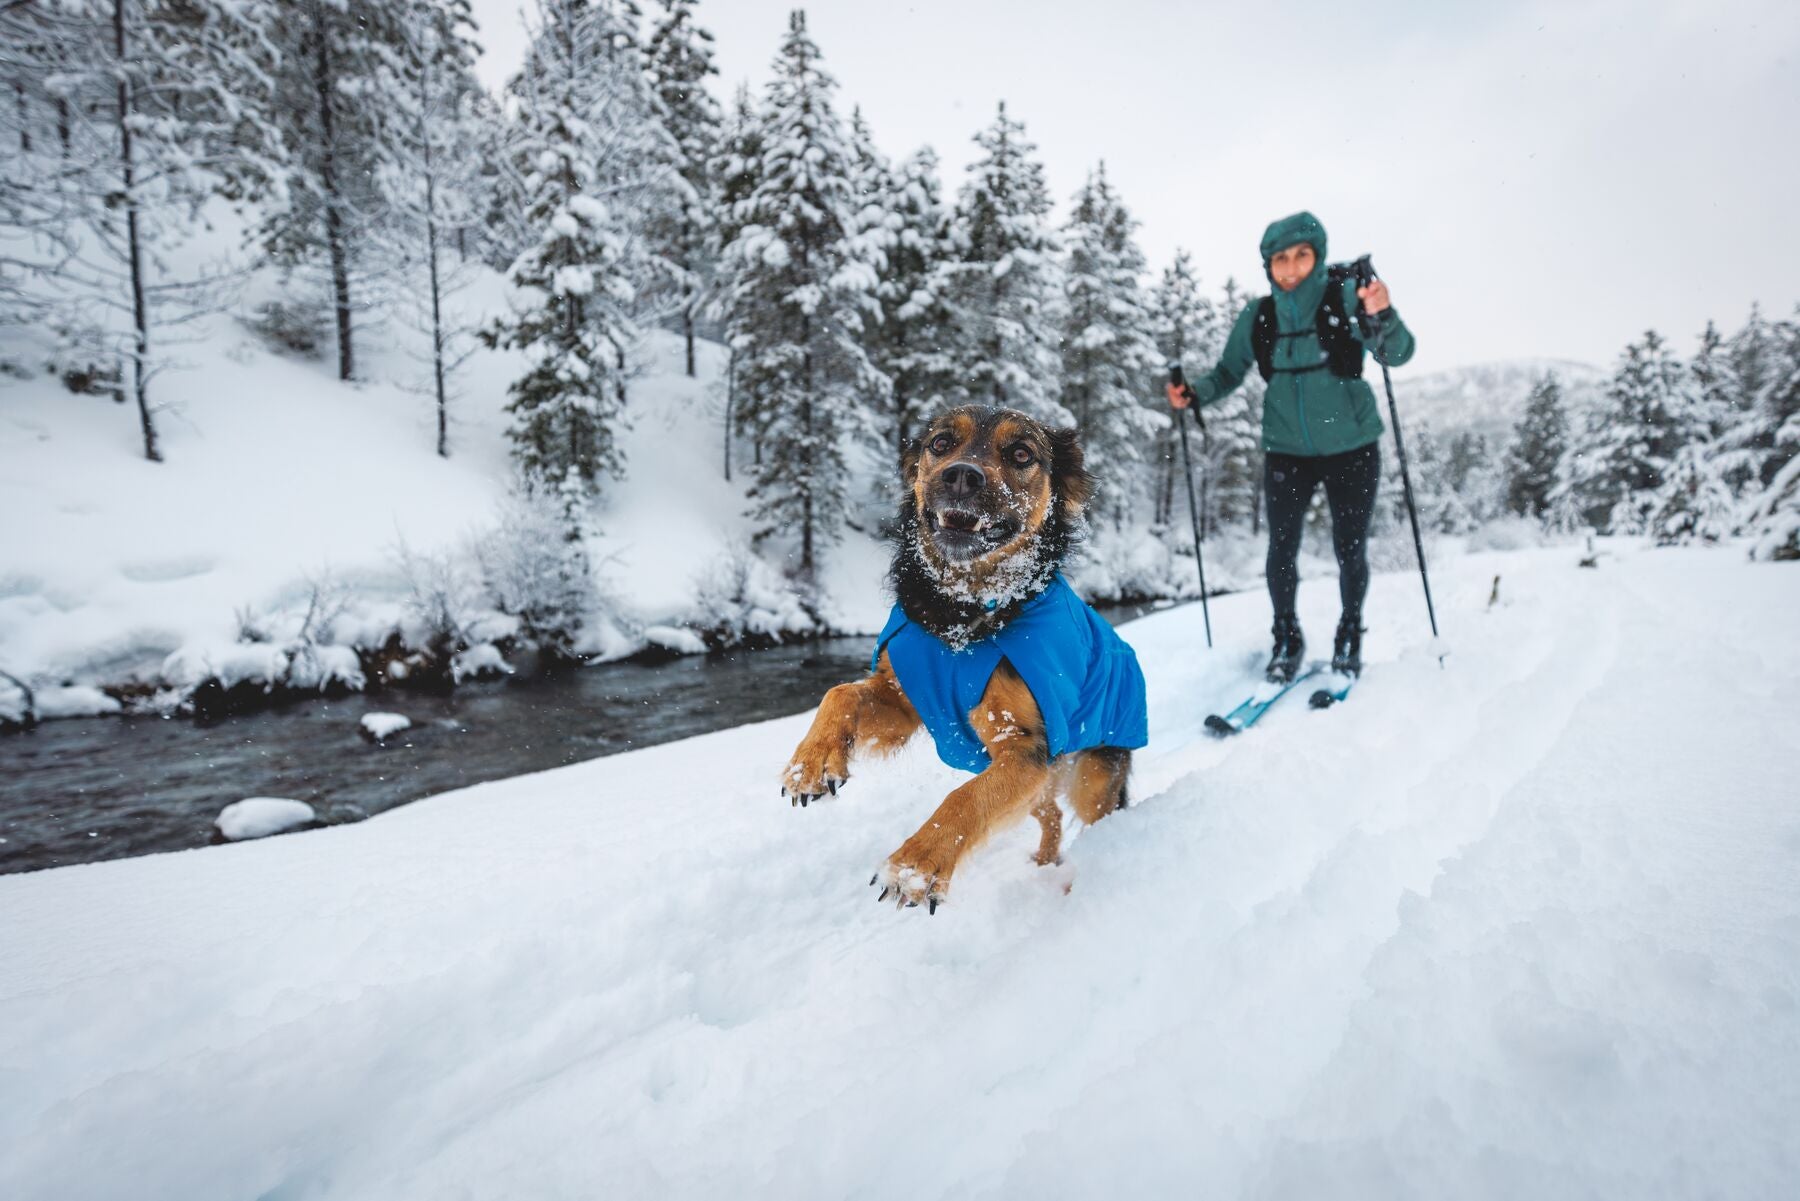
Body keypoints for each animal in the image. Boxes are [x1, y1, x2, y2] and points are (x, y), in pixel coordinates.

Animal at [777, 403, 1144, 911]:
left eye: (1021, 453)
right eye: (941, 443)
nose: (961, 477)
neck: (961, 614)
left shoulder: (1026, 749)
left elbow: (966, 796)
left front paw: (916, 865)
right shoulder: (905, 701)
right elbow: (840, 692)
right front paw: (812, 763)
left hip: (1093, 777)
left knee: (1097, 824)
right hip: (1045, 785)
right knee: (1050, 815)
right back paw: (1043, 864)